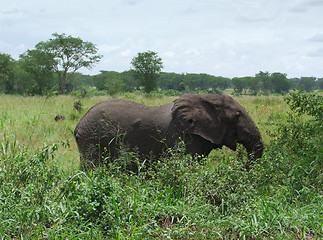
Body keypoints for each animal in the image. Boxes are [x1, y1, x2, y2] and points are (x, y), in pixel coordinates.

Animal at [74, 94, 264, 171]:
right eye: (237, 116)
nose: (243, 168)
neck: (207, 98)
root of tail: (78, 125)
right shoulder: (182, 138)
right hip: (91, 140)